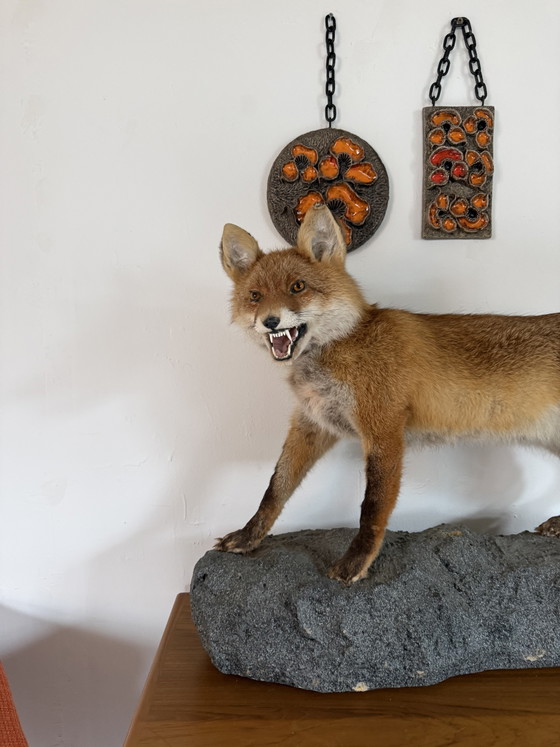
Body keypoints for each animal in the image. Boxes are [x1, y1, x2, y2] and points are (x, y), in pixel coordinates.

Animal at [216, 203, 560, 584]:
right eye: (255, 296)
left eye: (298, 286)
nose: (270, 321)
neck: (339, 349)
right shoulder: (313, 424)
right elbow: (275, 488)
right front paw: (248, 536)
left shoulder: (384, 431)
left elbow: (372, 507)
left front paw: (356, 562)